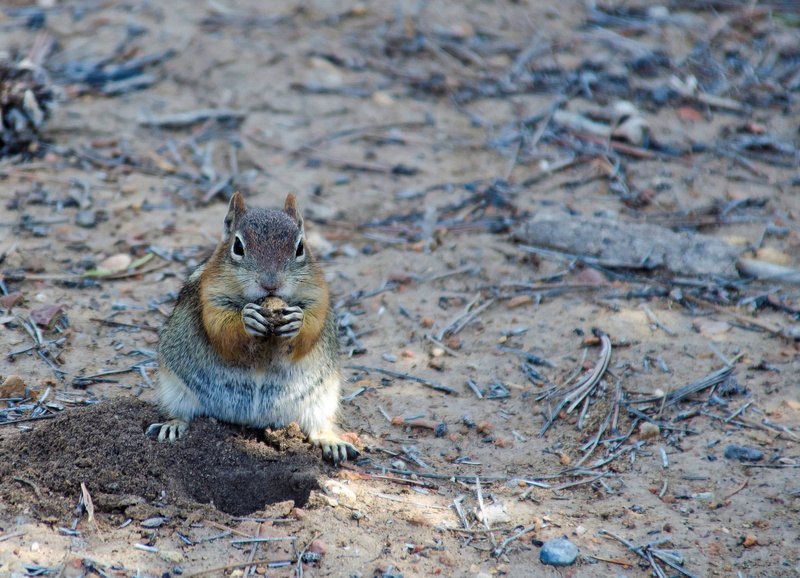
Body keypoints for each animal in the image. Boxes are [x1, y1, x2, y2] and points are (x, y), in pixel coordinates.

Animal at [147, 192, 358, 464]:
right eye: (238, 247)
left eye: (300, 247)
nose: (271, 284)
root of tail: (252, 419)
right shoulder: (211, 298)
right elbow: (221, 331)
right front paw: (247, 321)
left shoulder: (317, 296)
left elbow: (311, 328)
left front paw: (297, 321)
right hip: (173, 387)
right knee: (181, 413)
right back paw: (172, 425)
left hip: (322, 401)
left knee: (317, 428)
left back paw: (331, 441)